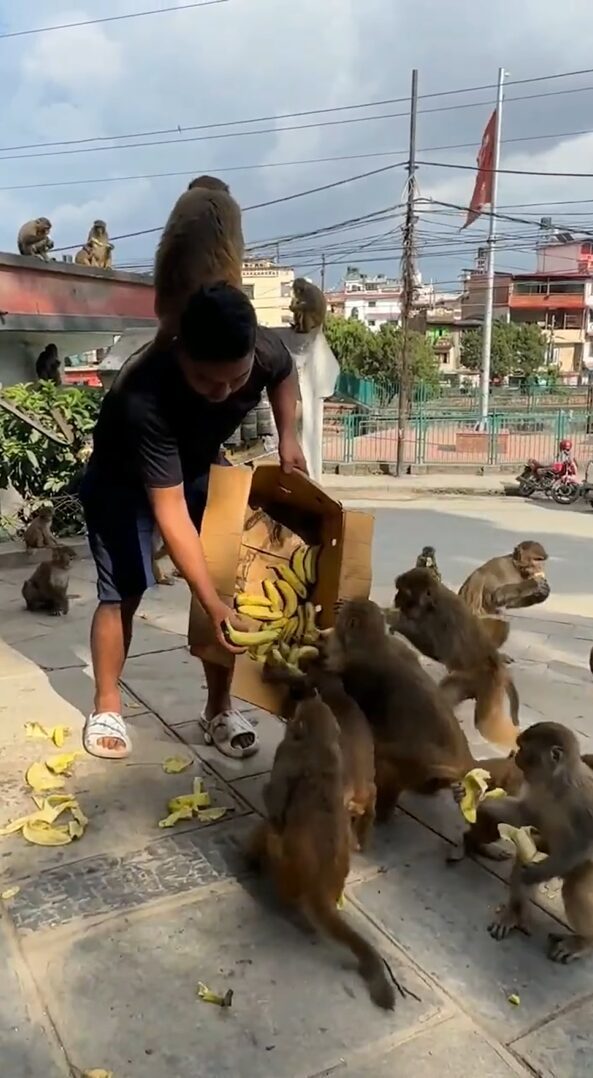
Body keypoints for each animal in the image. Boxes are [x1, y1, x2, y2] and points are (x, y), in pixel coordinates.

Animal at [249, 689, 396, 1009]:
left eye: (297, 714)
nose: (290, 712)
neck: (321, 745)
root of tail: (322, 885)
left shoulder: (286, 757)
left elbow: (274, 799)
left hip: (285, 862)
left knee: (272, 835)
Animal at [323, 603, 476, 819]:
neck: (374, 643)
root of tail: (463, 764)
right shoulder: (398, 647)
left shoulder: (358, 669)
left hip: (421, 763)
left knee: (387, 761)